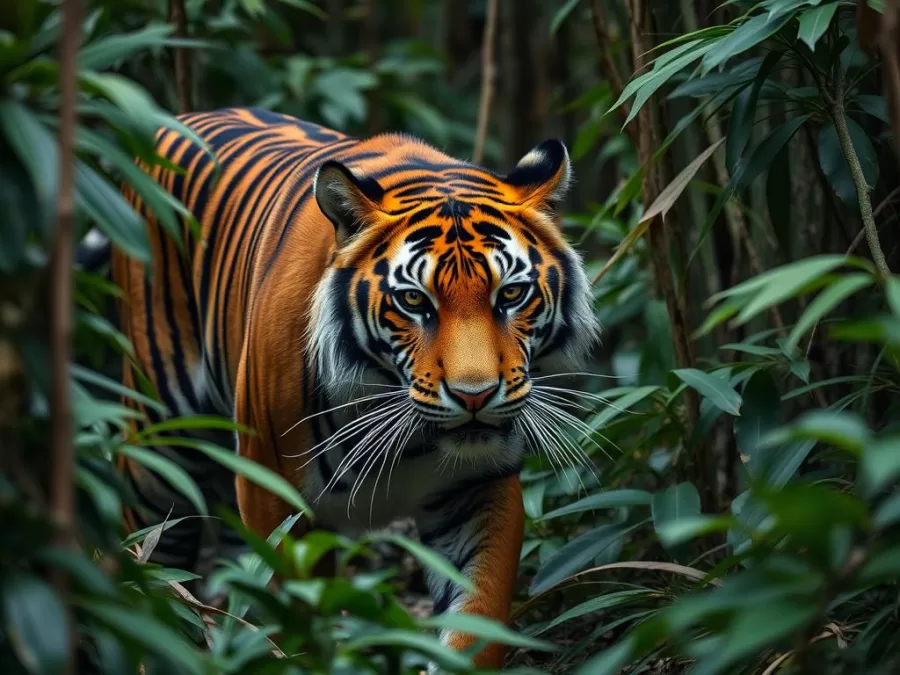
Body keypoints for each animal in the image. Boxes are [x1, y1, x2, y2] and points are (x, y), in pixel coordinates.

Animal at [109, 106, 600, 669]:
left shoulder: (479, 488)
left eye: (512, 294)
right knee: (151, 568)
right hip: (157, 447)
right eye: (414, 301)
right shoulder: (271, 492)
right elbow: (296, 614)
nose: (474, 396)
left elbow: (474, 625)